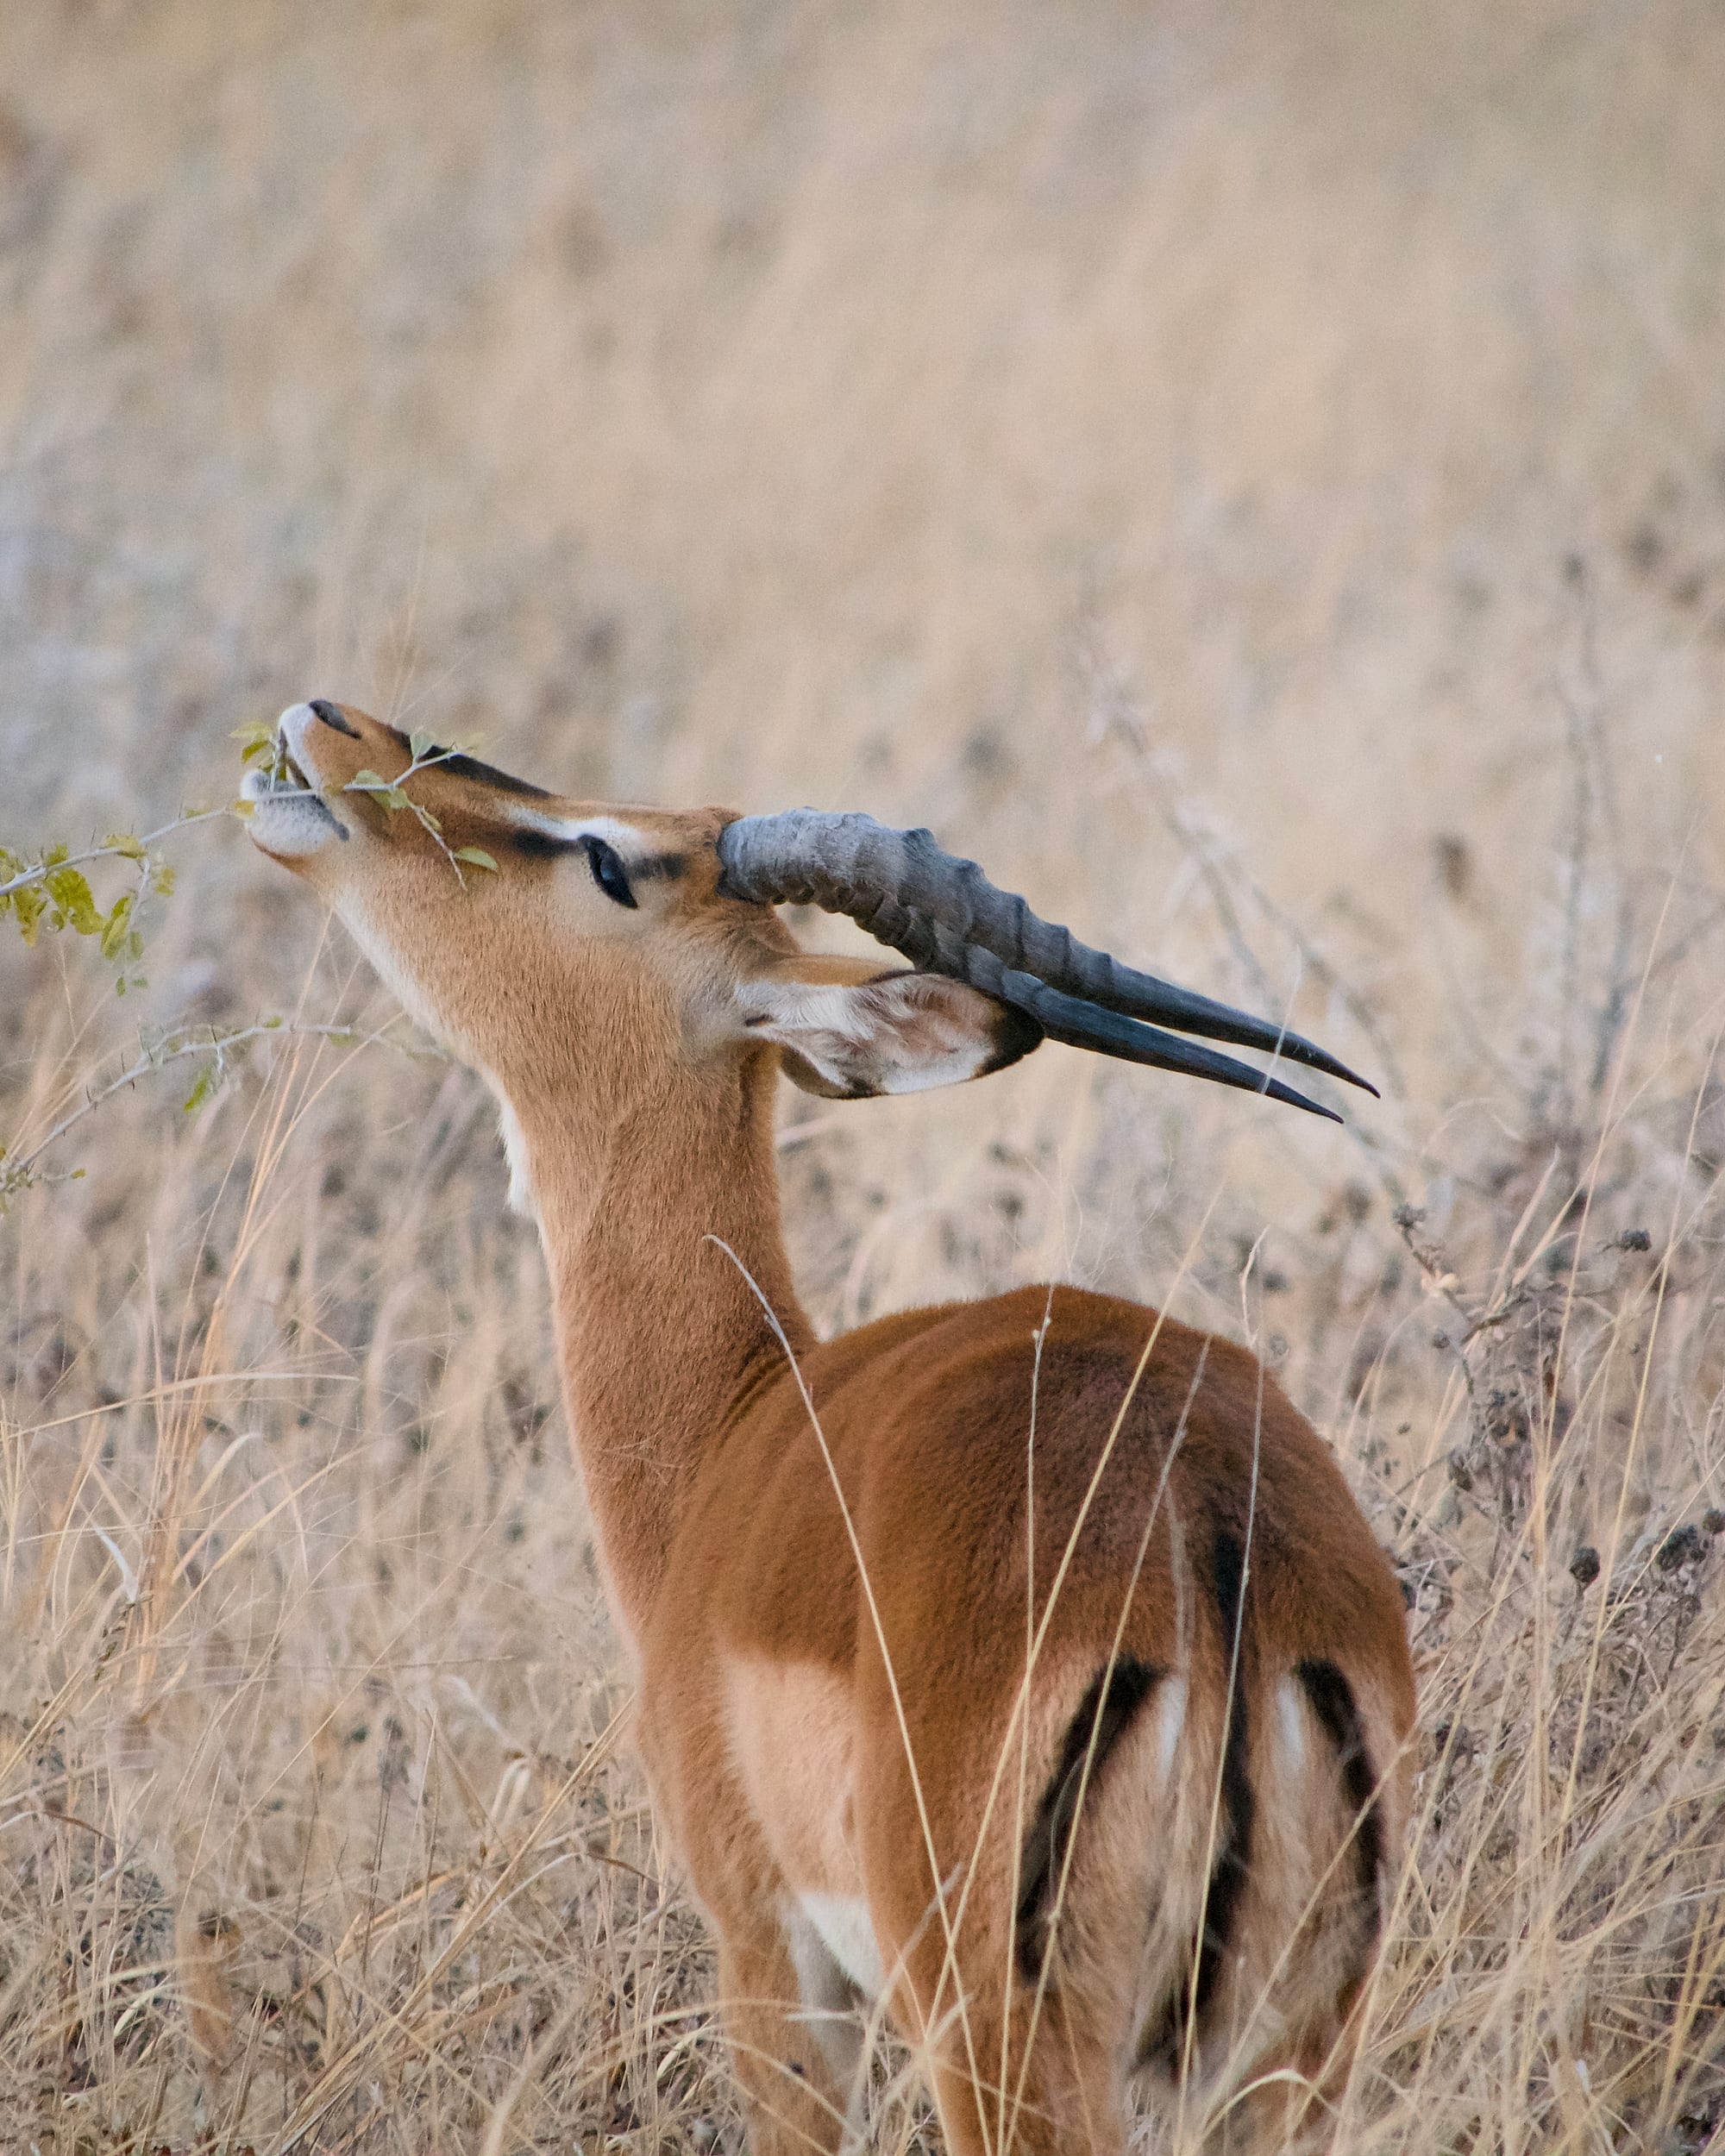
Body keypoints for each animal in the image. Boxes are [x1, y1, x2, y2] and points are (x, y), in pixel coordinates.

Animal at [242, 699, 1416, 2153]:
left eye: (611, 862)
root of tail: (1214, 1541)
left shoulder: (769, 1957)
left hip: (1006, 2049)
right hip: (1284, 2070)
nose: (336, 725)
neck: (743, 1426)